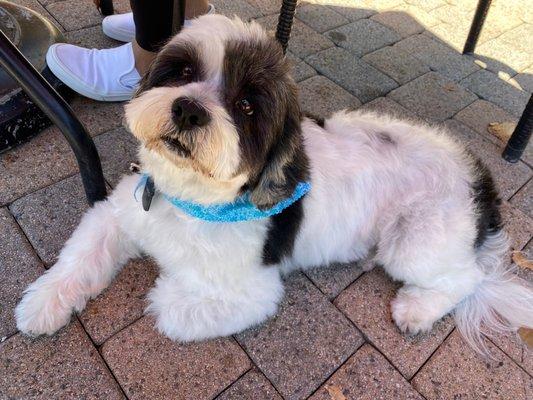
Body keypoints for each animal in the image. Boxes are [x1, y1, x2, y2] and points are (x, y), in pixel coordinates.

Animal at [15, 14, 532, 352]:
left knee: (466, 278)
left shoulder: (250, 293)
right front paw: (41, 305)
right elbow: (78, 259)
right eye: (183, 72)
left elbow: (166, 306)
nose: (188, 109)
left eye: (245, 106)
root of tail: (478, 177)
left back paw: (416, 309)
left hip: (416, 243)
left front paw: (164, 284)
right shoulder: (118, 215)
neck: (190, 199)